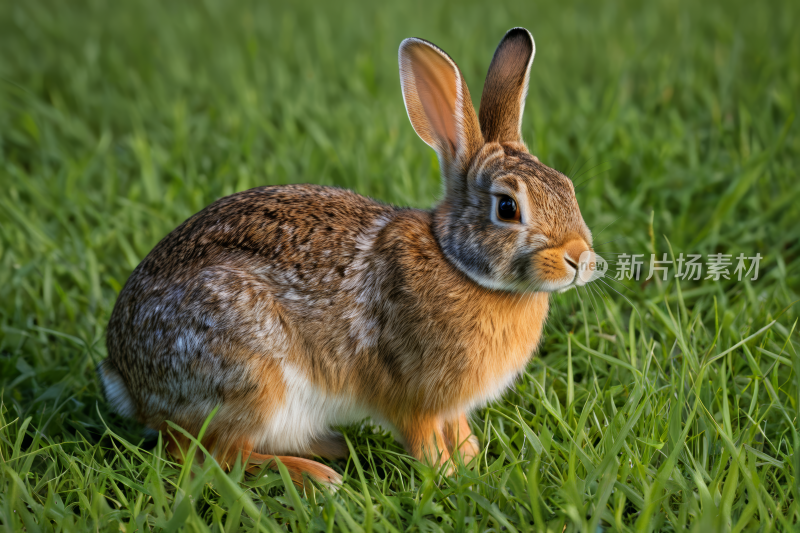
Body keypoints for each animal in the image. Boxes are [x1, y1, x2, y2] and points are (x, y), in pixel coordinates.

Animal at [98, 28, 592, 486]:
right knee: (211, 456)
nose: (580, 258)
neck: (458, 264)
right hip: (247, 373)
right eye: (507, 208)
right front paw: (448, 475)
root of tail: (125, 378)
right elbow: (426, 439)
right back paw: (316, 475)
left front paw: (473, 464)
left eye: (566, 186)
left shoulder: (451, 406)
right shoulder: (412, 396)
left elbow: (459, 429)